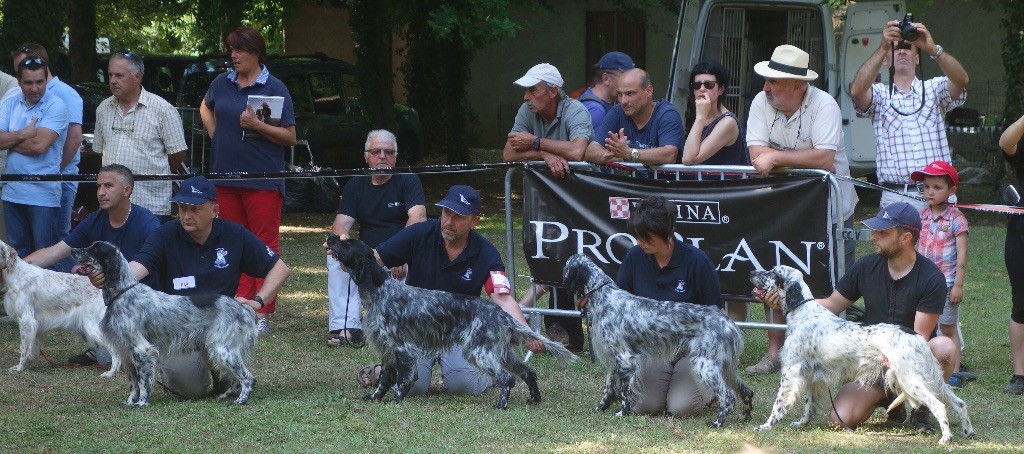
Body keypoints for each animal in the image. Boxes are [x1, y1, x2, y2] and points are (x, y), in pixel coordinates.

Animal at [70, 239, 258, 407]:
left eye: (95, 248)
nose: (72, 250)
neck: (122, 293)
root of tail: (243, 308)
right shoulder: (125, 351)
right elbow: (133, 383)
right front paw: (130, 402)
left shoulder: (142, 350)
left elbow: (143, 382)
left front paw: (142, 402)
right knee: (237, 379)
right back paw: (225, 395)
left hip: (223, 350)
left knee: (248, 377)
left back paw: (241, 400)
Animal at [327, 236, 577, 409]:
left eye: (347, 243)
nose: (331, 236)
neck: (380, 290)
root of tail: (501, 314)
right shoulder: (387, 349)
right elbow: (385, 379)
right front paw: (374, 397)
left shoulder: (403, 348)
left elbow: (404, 379)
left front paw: (396, 399)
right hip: (502, 353)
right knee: (528, 372)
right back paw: (534, 399)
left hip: (479, 352)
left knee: (507, 378)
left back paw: (501, 405)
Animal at [561, 254, 753, 428]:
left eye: (566, 266)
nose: (561, 279)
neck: (603, 296)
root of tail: (729, 322)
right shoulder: (613, 360)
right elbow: (608, 389)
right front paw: (600, 408)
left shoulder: (625, 358)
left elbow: (624, 392)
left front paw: (622, 413)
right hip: (724, 367)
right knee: (747, 392)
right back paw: (746, 415)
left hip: (705, 365)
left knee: (728, 397)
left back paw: (717, 423)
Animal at [749, 264, 970, 446]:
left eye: (772, 272)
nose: (752, 272)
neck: (802, 310)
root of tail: (915, 336)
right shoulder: (813, 376)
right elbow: (809, 405)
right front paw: (802, 423)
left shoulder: (791, 372)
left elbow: (778, 404)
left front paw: (766, 426)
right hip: (931, 379)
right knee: (959, 403)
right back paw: (968, 431)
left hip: (912, 380)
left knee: (939, 406)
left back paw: (945, 438)